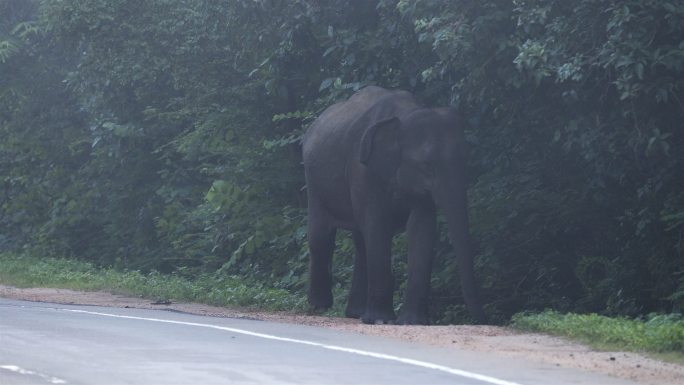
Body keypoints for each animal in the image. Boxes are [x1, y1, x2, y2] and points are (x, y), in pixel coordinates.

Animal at [302, 85, 484, 322]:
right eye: (427, 165)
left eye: (466, 159)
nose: (483, 318)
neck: (406, 114)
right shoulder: (363, 169)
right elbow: (377, 225)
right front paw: (382, 319)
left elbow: (422, 228)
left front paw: (413, 322)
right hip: (314, 182)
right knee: (322, 236)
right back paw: (320, 307)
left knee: (360, 242)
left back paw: (355, 313)